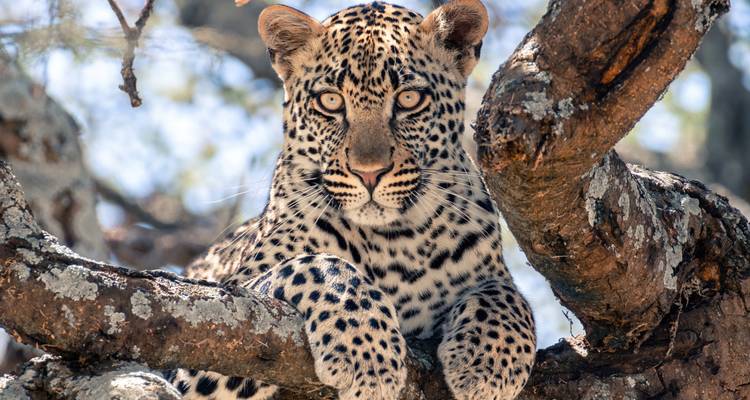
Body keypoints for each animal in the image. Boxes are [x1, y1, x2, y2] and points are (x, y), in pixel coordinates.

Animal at [166, 1, 536, 399]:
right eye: (330, 101)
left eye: (409, 99)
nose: (369, 173)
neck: (395, 241)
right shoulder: (218, 325)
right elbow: (318, 264)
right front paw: (368, 354)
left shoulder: (490, 272)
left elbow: (506, 294)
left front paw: (490, 362)